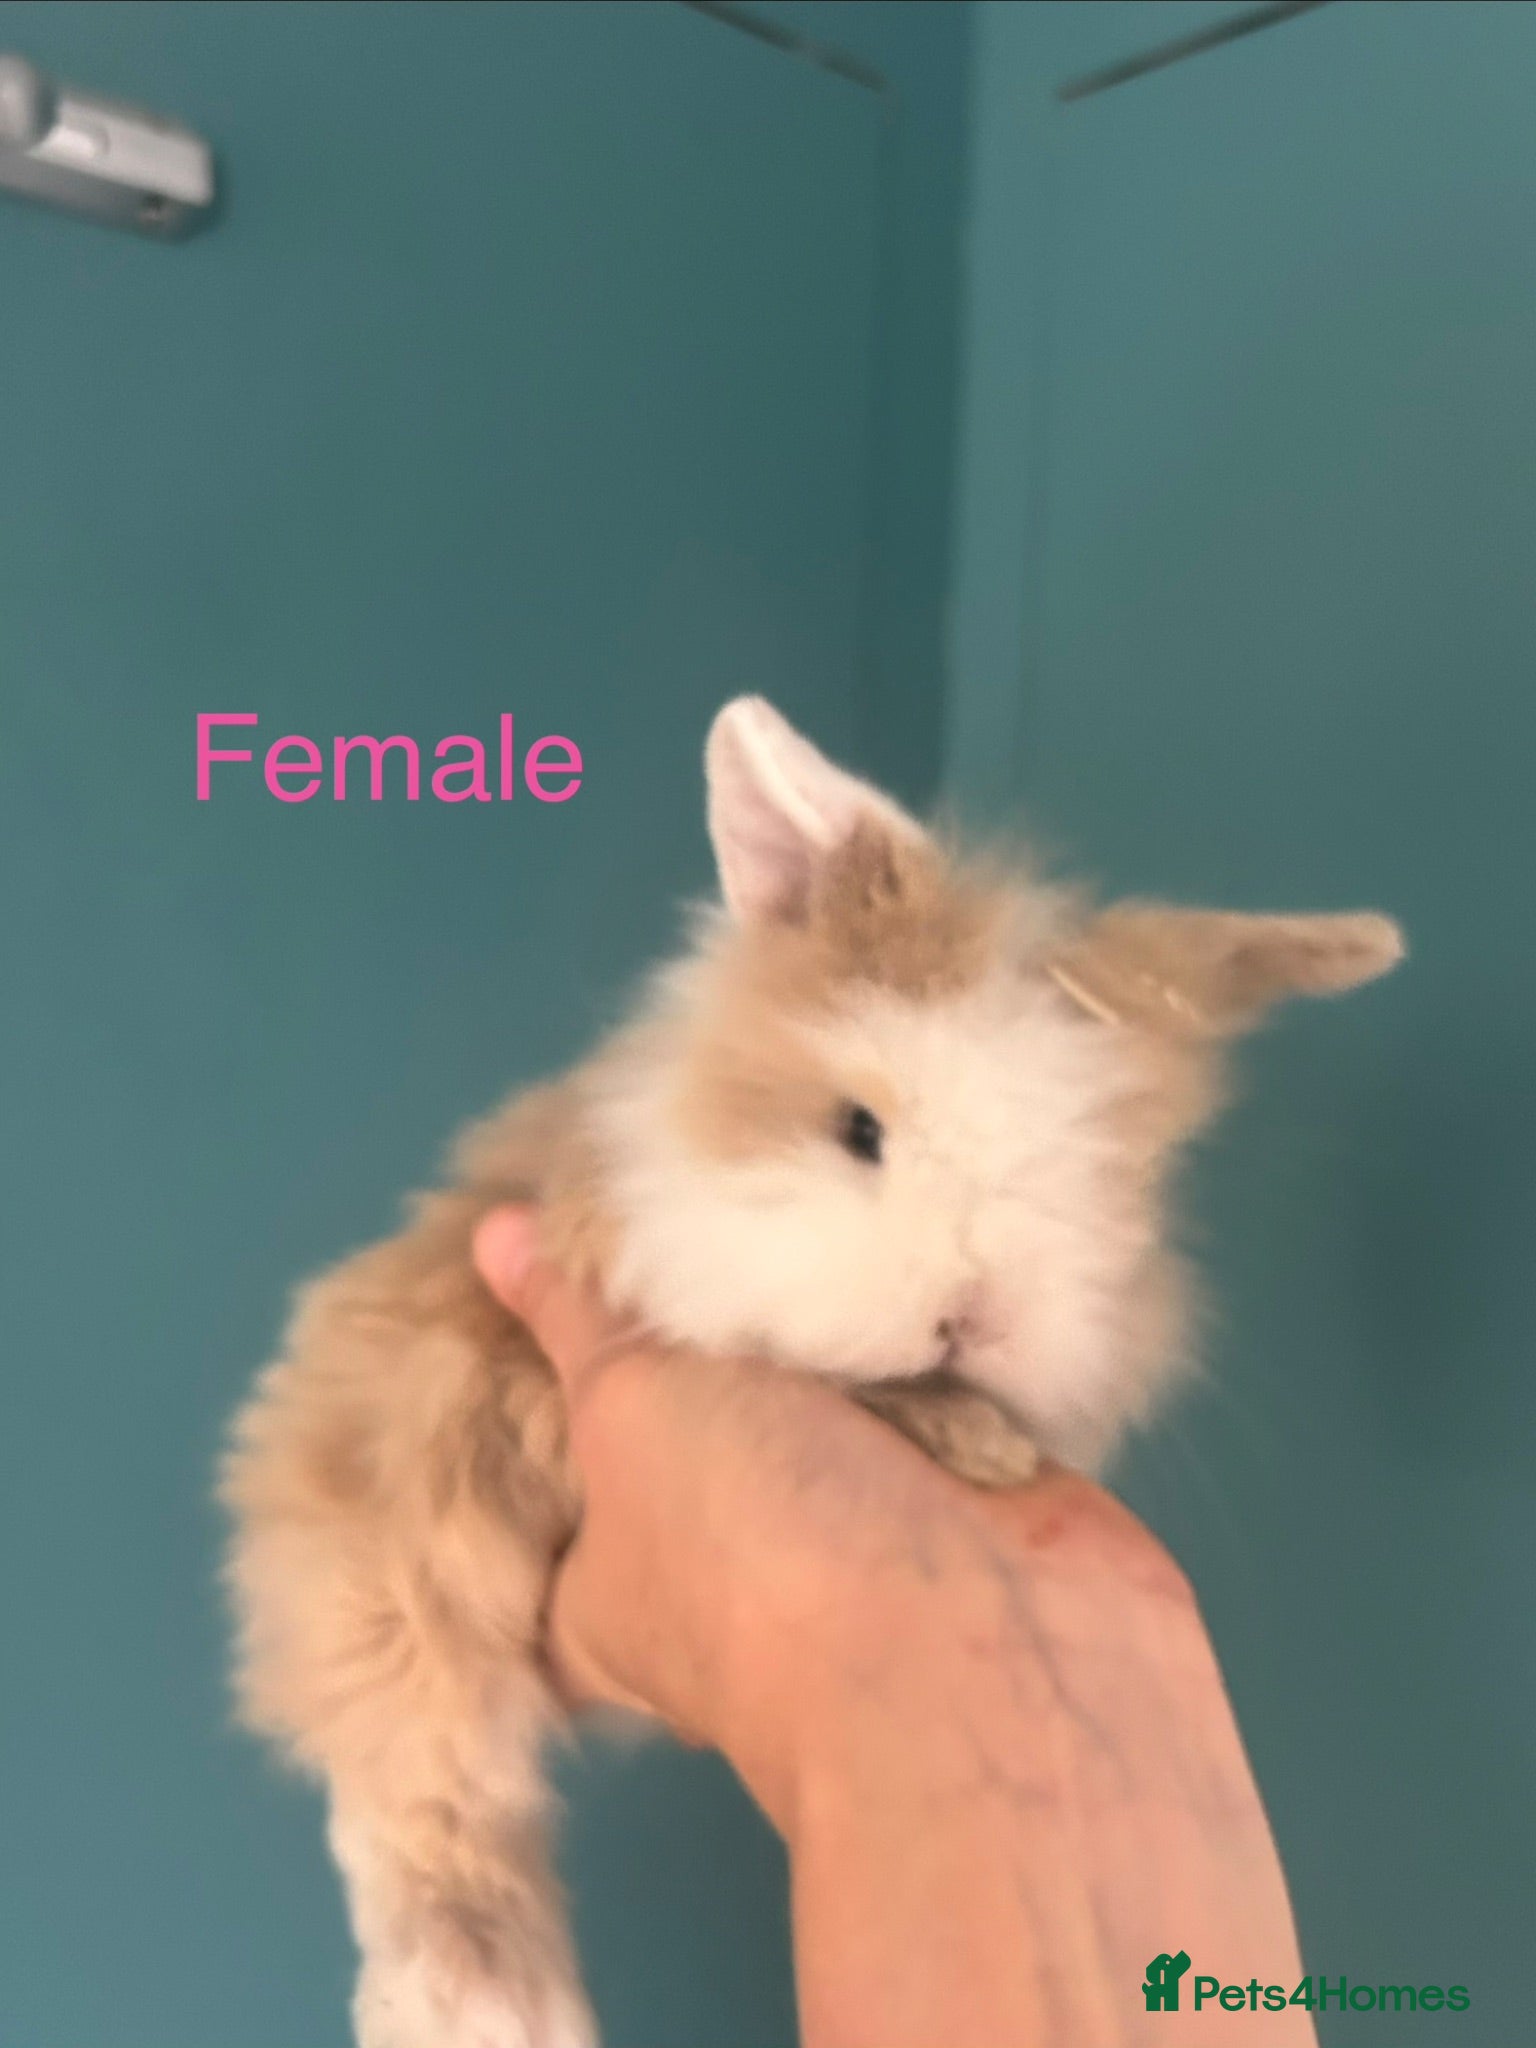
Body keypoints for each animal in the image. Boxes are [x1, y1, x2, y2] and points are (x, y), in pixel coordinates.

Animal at [220, 694, 1403, 2048]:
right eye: (858, 1129)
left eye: (1108, 1174)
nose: (972, 1314)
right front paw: (970, 1430)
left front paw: (982, 1433)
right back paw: (482, 2006)